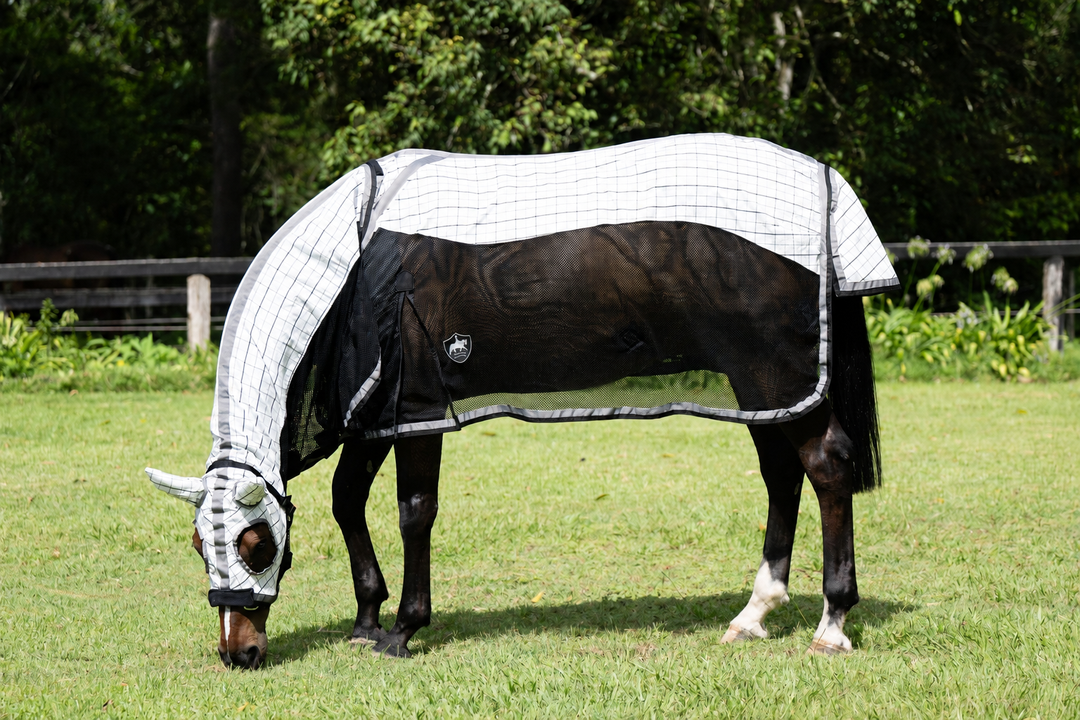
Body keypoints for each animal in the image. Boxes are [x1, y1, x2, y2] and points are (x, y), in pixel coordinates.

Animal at [146, 134, 898, 668]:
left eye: (256, 545)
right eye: (198, 544)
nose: (238, 652)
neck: (358, 258)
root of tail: (825, 181)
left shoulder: (417, 410)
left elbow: (413, 512)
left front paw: (404, 630)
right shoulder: (372, 418)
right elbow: (346, 501)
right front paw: (366, 620)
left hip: (777, 376)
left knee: (826, 468)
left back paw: (832, 626)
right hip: (763, 389)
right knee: (782, 476)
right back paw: (753, 616)